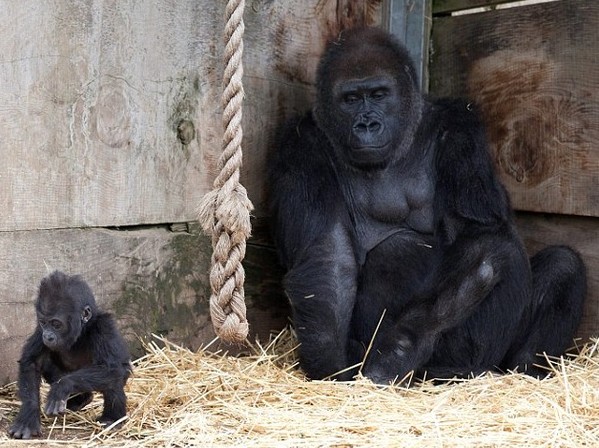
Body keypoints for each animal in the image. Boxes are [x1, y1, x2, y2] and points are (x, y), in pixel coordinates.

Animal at [8, 272, 132, 440]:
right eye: (43, 322)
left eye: (56, 324)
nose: (47, 336)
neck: (82, 330)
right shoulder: (39, 331)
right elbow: (32, 363)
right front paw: (28, 417)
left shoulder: (104, 327)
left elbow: (111, 368)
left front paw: (62, 386)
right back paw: (80, 399)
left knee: (114, 378)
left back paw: (111, 419)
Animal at [268, 28, 584, 384]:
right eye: (350, 99)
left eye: (379, 94)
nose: (367, 125)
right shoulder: (300, 145)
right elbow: (328, 252)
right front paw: (331, 360)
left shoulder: (459, 129)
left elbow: (478, 232)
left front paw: (400, 348)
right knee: (398, 249)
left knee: (559, 264)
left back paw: (522, 370)